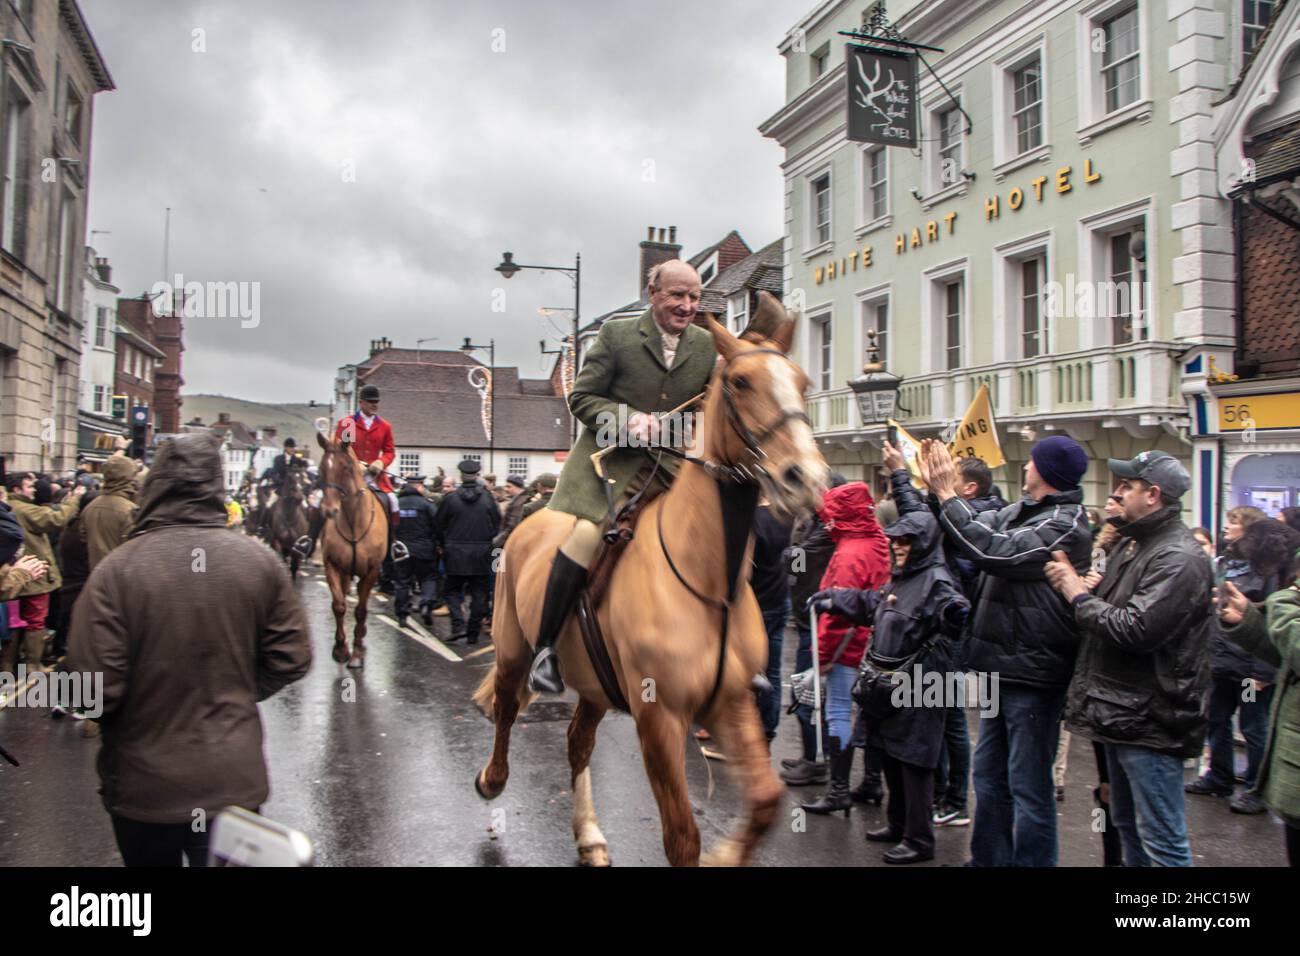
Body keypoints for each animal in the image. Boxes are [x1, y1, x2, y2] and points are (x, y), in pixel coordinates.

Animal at [313, 429, 384, 671]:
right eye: (322, 468)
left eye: (345, 468)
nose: (329, 511)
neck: (354, 521)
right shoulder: (333, 566)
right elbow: (339, 606)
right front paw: (341, 649)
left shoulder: (372, 571)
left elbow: (361, 610)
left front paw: (357, 654)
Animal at [473, 303, 826, 868]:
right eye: (741, 382)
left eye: (802, 382)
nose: (806, 478)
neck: (708, 582)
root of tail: (530, 517)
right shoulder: (658, 719)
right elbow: (682, 837)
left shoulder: (731, 702)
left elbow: (767, 802)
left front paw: (726, 855)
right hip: (512, 647)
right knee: (507, 709)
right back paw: (492, 778)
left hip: (594, 683)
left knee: (577, 742)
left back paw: (590, 835)